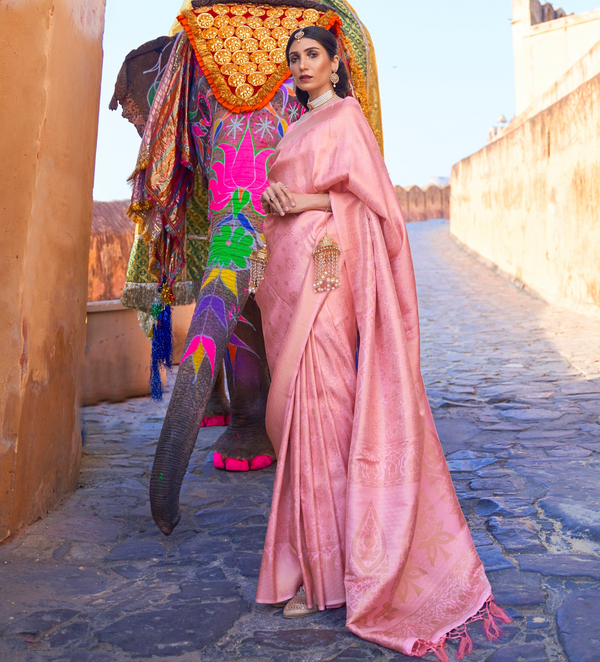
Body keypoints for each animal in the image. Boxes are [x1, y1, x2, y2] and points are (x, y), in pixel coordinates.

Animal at [112, 0, 382, 540]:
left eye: (296, 108)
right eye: (196, 121)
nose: (172, 525)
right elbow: (240, 309)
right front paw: (241, 460)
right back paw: (215, 420)